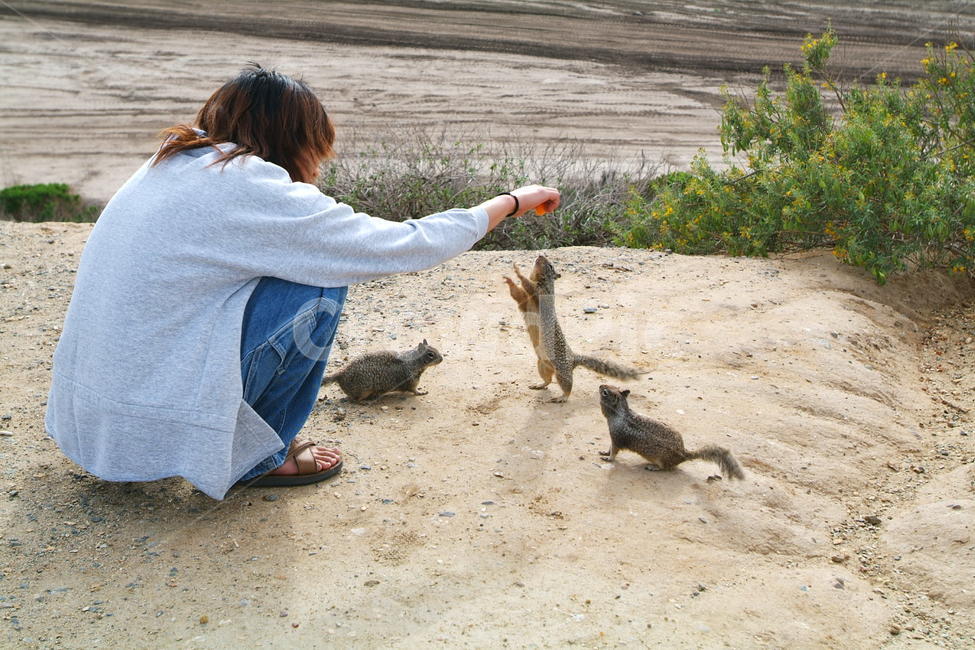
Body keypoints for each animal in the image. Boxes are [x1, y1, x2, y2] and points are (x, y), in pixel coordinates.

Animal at [503, 254, 640, 402]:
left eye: (550, 265)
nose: (540, 255)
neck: (541, 282)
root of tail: (574, 358)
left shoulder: (541, 294)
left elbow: (528, 285)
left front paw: (518, 272)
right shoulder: (524, 300)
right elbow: (517, 294)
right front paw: (509, 280)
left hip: (562, 373)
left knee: (567, 387)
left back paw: (561, 397)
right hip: (542, 365)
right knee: (548, 380)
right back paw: (539, 385)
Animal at [598, 384, 744, 480]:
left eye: (605, 392)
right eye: (612, 386)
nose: (600, 385)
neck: (618, 414)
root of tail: (684, 454)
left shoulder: (617, 438)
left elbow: (614, 451)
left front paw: (608, 458)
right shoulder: (612, 437)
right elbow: (610, 447)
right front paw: (604, 452)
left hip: (661, 459)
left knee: (665, 468)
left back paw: (653, 467)